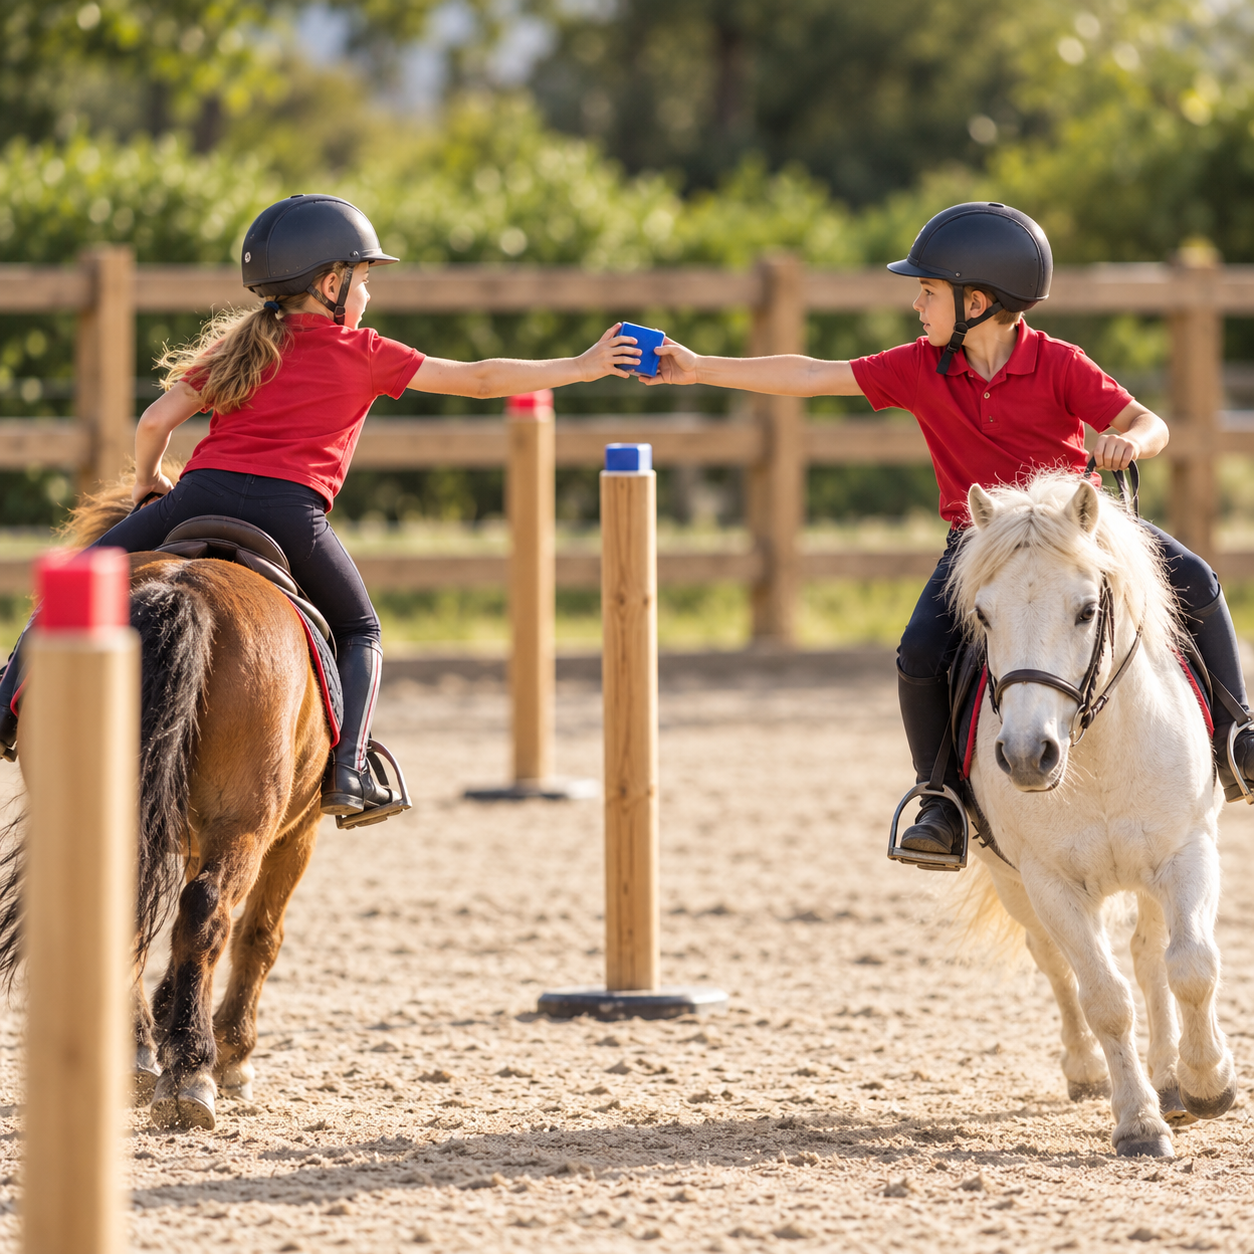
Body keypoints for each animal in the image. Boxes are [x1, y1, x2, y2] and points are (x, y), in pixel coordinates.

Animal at [0, 476, 332, 1130]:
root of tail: (183, 586)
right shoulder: (296, 834)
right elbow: (260, 934)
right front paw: (233, 1053)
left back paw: (138, 1052)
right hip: (248, 825)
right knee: (210, 914)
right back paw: (192, 1071)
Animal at [949, 470, 1237, 1157]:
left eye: (1085, 610)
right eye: (984, 615)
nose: (1027, 756)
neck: (1097, 756)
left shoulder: (1186, 852)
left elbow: (1191, 966)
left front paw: (1207, 1083)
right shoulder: (1050, 882)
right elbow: (1103, 996)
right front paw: (1139, 1123)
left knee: (1152, 954)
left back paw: (1173, 1077)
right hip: (1013, 883)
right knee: (1054, 961)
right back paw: (1087, 1072)